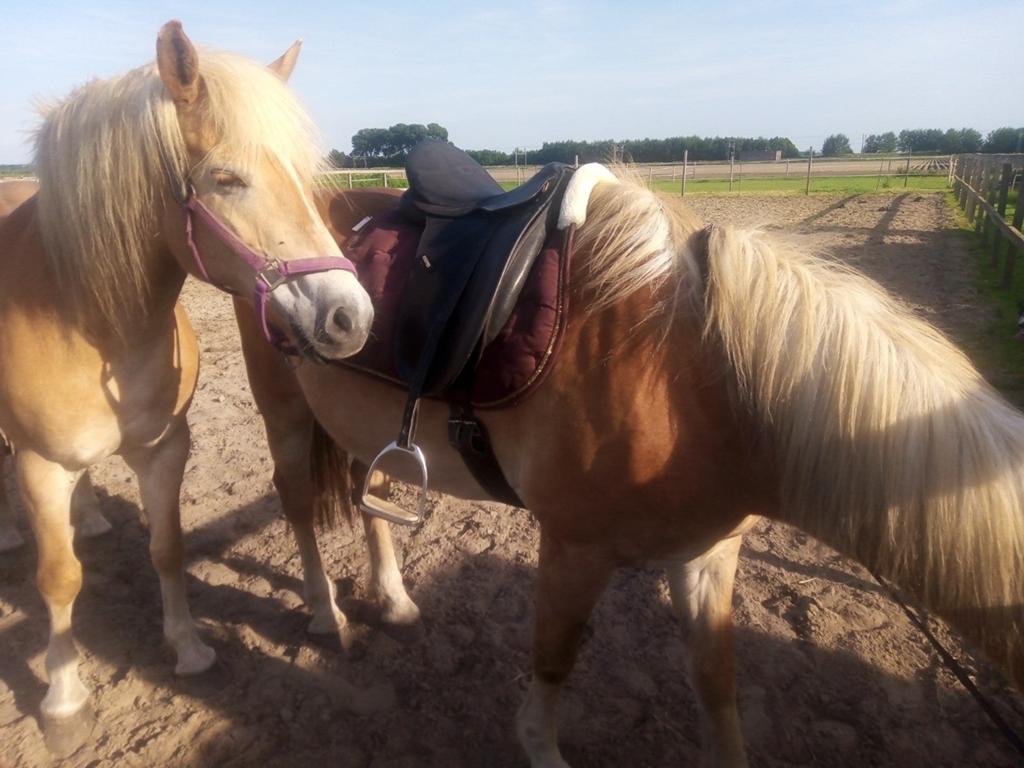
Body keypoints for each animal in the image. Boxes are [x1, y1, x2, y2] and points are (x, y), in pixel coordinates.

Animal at [0, 21, 372, 736]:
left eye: (302, 174)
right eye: (226, 178)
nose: (351, 316)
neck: (92, 320)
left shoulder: (164, 447)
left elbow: (168, 547)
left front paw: (190, 649)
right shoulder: (40, 465)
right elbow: (58, 578)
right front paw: (63, 701)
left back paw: (91, 518)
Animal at [230, 170, 1024, 767]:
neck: (698, 379)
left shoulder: (708, 555)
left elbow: (717, 686)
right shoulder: (575, 548)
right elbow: (554, 662)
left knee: (373, 495)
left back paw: (393, 602)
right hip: (284, 412)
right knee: (294, 499)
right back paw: (326, 616)